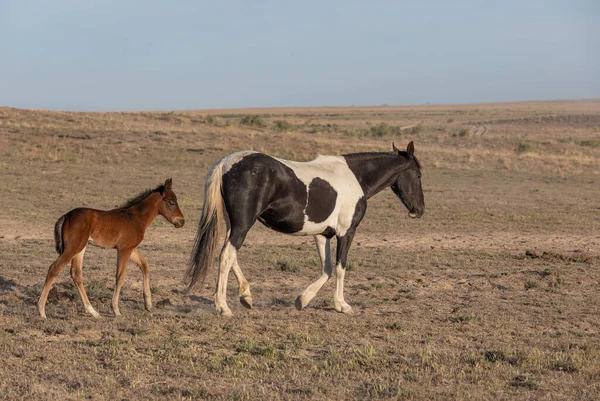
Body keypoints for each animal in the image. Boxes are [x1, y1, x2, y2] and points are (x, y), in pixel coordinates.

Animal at [38, 180, 184, 318]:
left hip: (80, 248)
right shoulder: (124, 249)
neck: (135, 217)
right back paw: (42, 311)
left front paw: (148, 305)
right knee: (54, 268)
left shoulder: (130, 249)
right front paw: (116, 310)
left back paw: (93, 312)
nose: (181, 222)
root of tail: (67, 216)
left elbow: (144, 265)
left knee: (76, 274)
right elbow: (120, 275)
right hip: (73, 247)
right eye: (171, 202)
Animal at [185, 141, 424, 316]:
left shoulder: (322, 235)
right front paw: (342, 305)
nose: (419, 210)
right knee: (227, 255)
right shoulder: (346, 232)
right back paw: (223, 307)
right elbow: (340, 267)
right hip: (243, 225)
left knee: (229, 255)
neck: (356, 177)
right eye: (419, 174)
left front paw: (302, 300)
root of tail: (225, 163)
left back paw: (246, 297)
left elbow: (327, 268)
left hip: (233, 224)